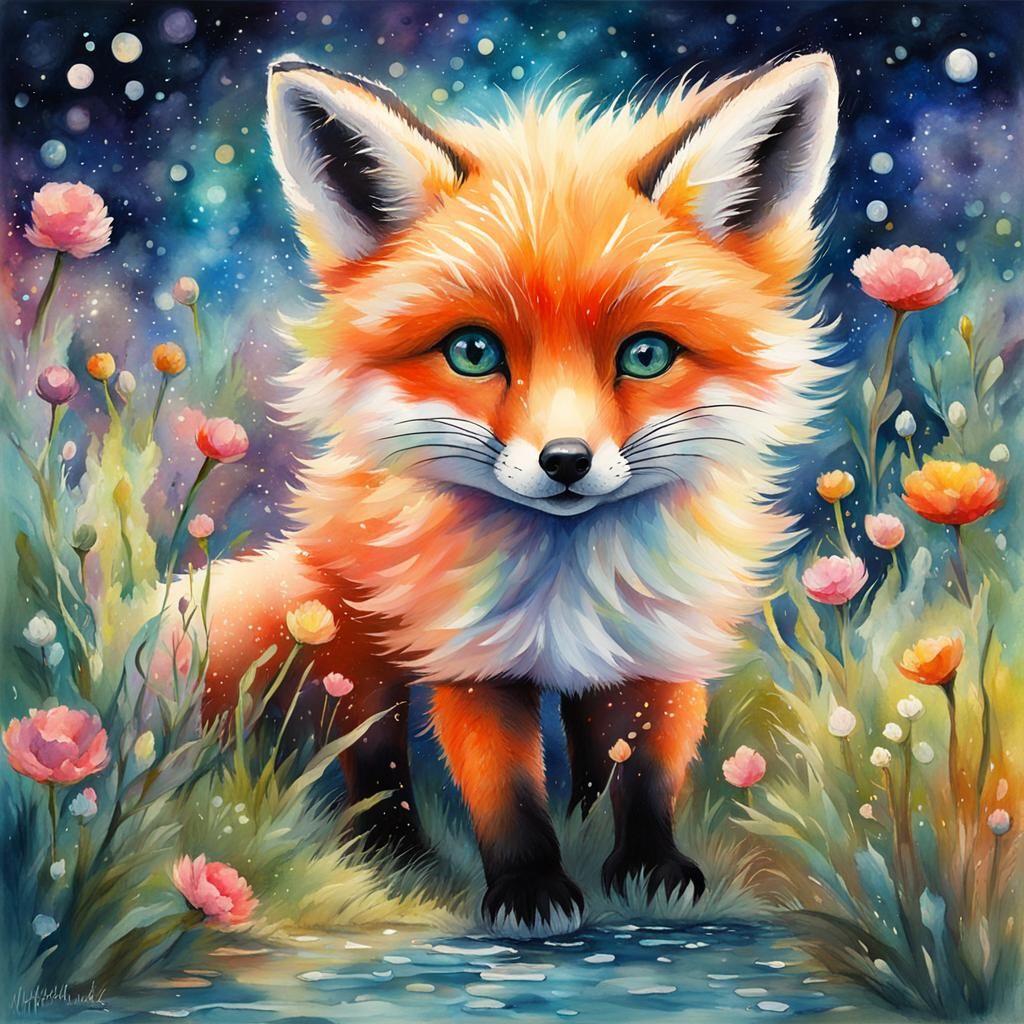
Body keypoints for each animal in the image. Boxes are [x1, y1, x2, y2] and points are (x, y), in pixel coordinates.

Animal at [189, 51, 840, 939]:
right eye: (472, 351)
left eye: (645, 356)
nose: (565, 461)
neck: (565, 580)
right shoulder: (473, 660)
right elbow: (505, 789)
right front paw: (530, 888)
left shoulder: (660, 643)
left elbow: (648, 771)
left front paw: (649, 870)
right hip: (359, 636)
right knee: (372, 750)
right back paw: (395, 856)